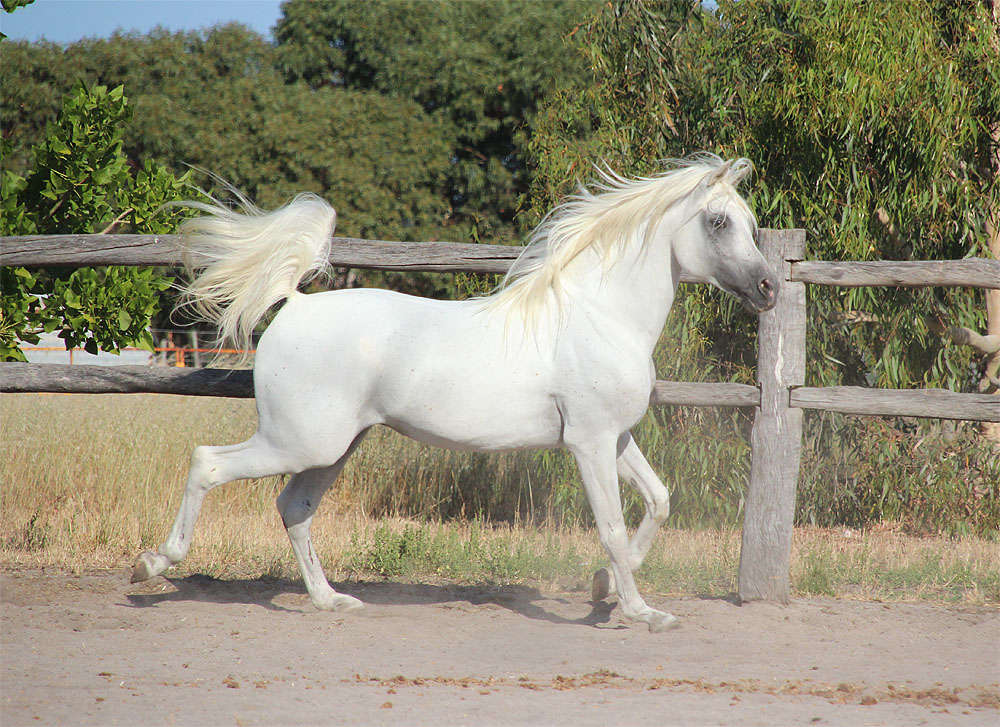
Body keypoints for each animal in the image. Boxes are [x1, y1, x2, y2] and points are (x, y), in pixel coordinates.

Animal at [131, 155, 779, 632]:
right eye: (718, 222)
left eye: (751, 224)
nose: (769, 288)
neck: (602, 315)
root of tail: (295, 302)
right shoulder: (589, 443)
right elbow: (615, 529)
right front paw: (643, 612)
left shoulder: (614, 438)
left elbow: (659, 502)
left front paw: (604, 591)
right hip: (298, 441)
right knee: (209, 464)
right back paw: (151, 567)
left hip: (332, 448)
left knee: (294, 508)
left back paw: (331, 601)